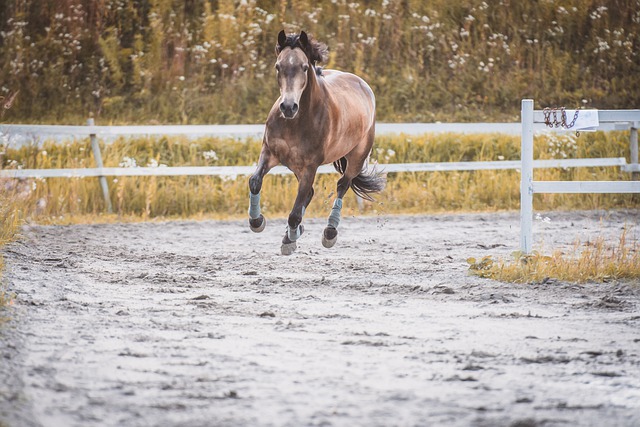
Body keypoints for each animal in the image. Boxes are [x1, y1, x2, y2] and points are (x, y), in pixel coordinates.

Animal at [246, 31, 384, 256]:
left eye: (304, 67)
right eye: (278, 66)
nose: (288, 107)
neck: (295, 122)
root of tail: (362, 84)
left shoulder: (310, 166)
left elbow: (295, 211)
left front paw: (290, 239)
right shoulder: (269, 153)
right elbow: (255, 181)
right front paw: (257, 221)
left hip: (356, 156)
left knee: (342, 185)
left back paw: (329, 232)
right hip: (296, 166)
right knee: (309, 193)